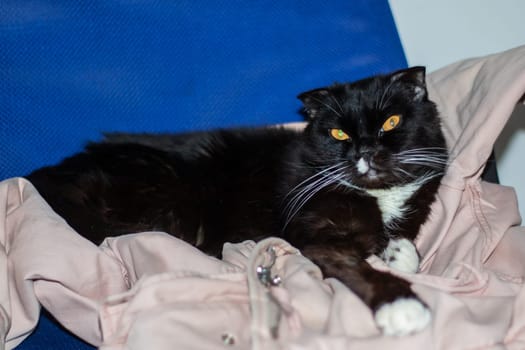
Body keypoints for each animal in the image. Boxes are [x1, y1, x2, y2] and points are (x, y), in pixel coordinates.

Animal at [26, 66, 446, 336]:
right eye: (339, 133)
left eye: (391, 122)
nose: (365, 153)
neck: (377, 195)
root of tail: (47, 176)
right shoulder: (318, 236)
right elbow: (357, 266)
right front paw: (402, 307)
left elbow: (405, 246)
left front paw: (398, 253)